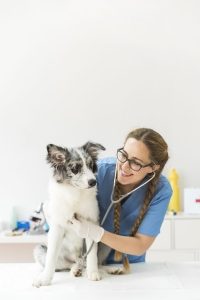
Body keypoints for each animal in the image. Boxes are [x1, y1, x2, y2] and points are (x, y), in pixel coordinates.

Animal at [32, 142, 106, 288]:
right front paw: (44, 279)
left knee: (87, 261)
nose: (93, 182)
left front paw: (93, 273)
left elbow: (92, 255)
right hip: (39, 249)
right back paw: (75, 269)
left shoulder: (91, 224)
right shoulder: (57, 227)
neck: (75, 192)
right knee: (68, 264)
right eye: (75, 168)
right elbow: (51, 258)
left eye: (90, 165)